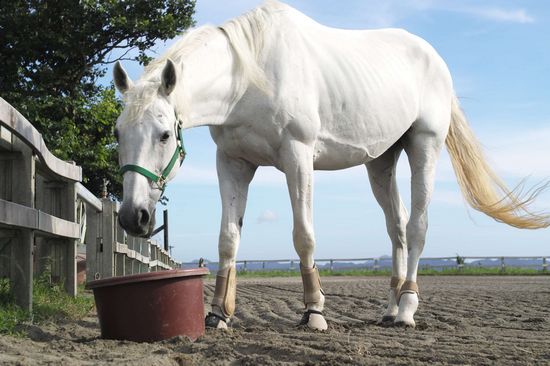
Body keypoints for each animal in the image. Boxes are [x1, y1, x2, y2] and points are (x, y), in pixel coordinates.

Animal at [114, 0, 548, 332]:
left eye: (164, 135)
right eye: (119, 133)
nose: (133, 217)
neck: (249, 79)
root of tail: (435, 59)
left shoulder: (297, 156)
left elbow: (303, 235)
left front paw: (314, 312)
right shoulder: (233, 163)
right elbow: (228, 239)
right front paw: (219, 315)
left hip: (424, 145)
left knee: (417, 226)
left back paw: (407, 310)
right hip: (381, 162)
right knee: (397, 228)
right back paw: (389, 308)